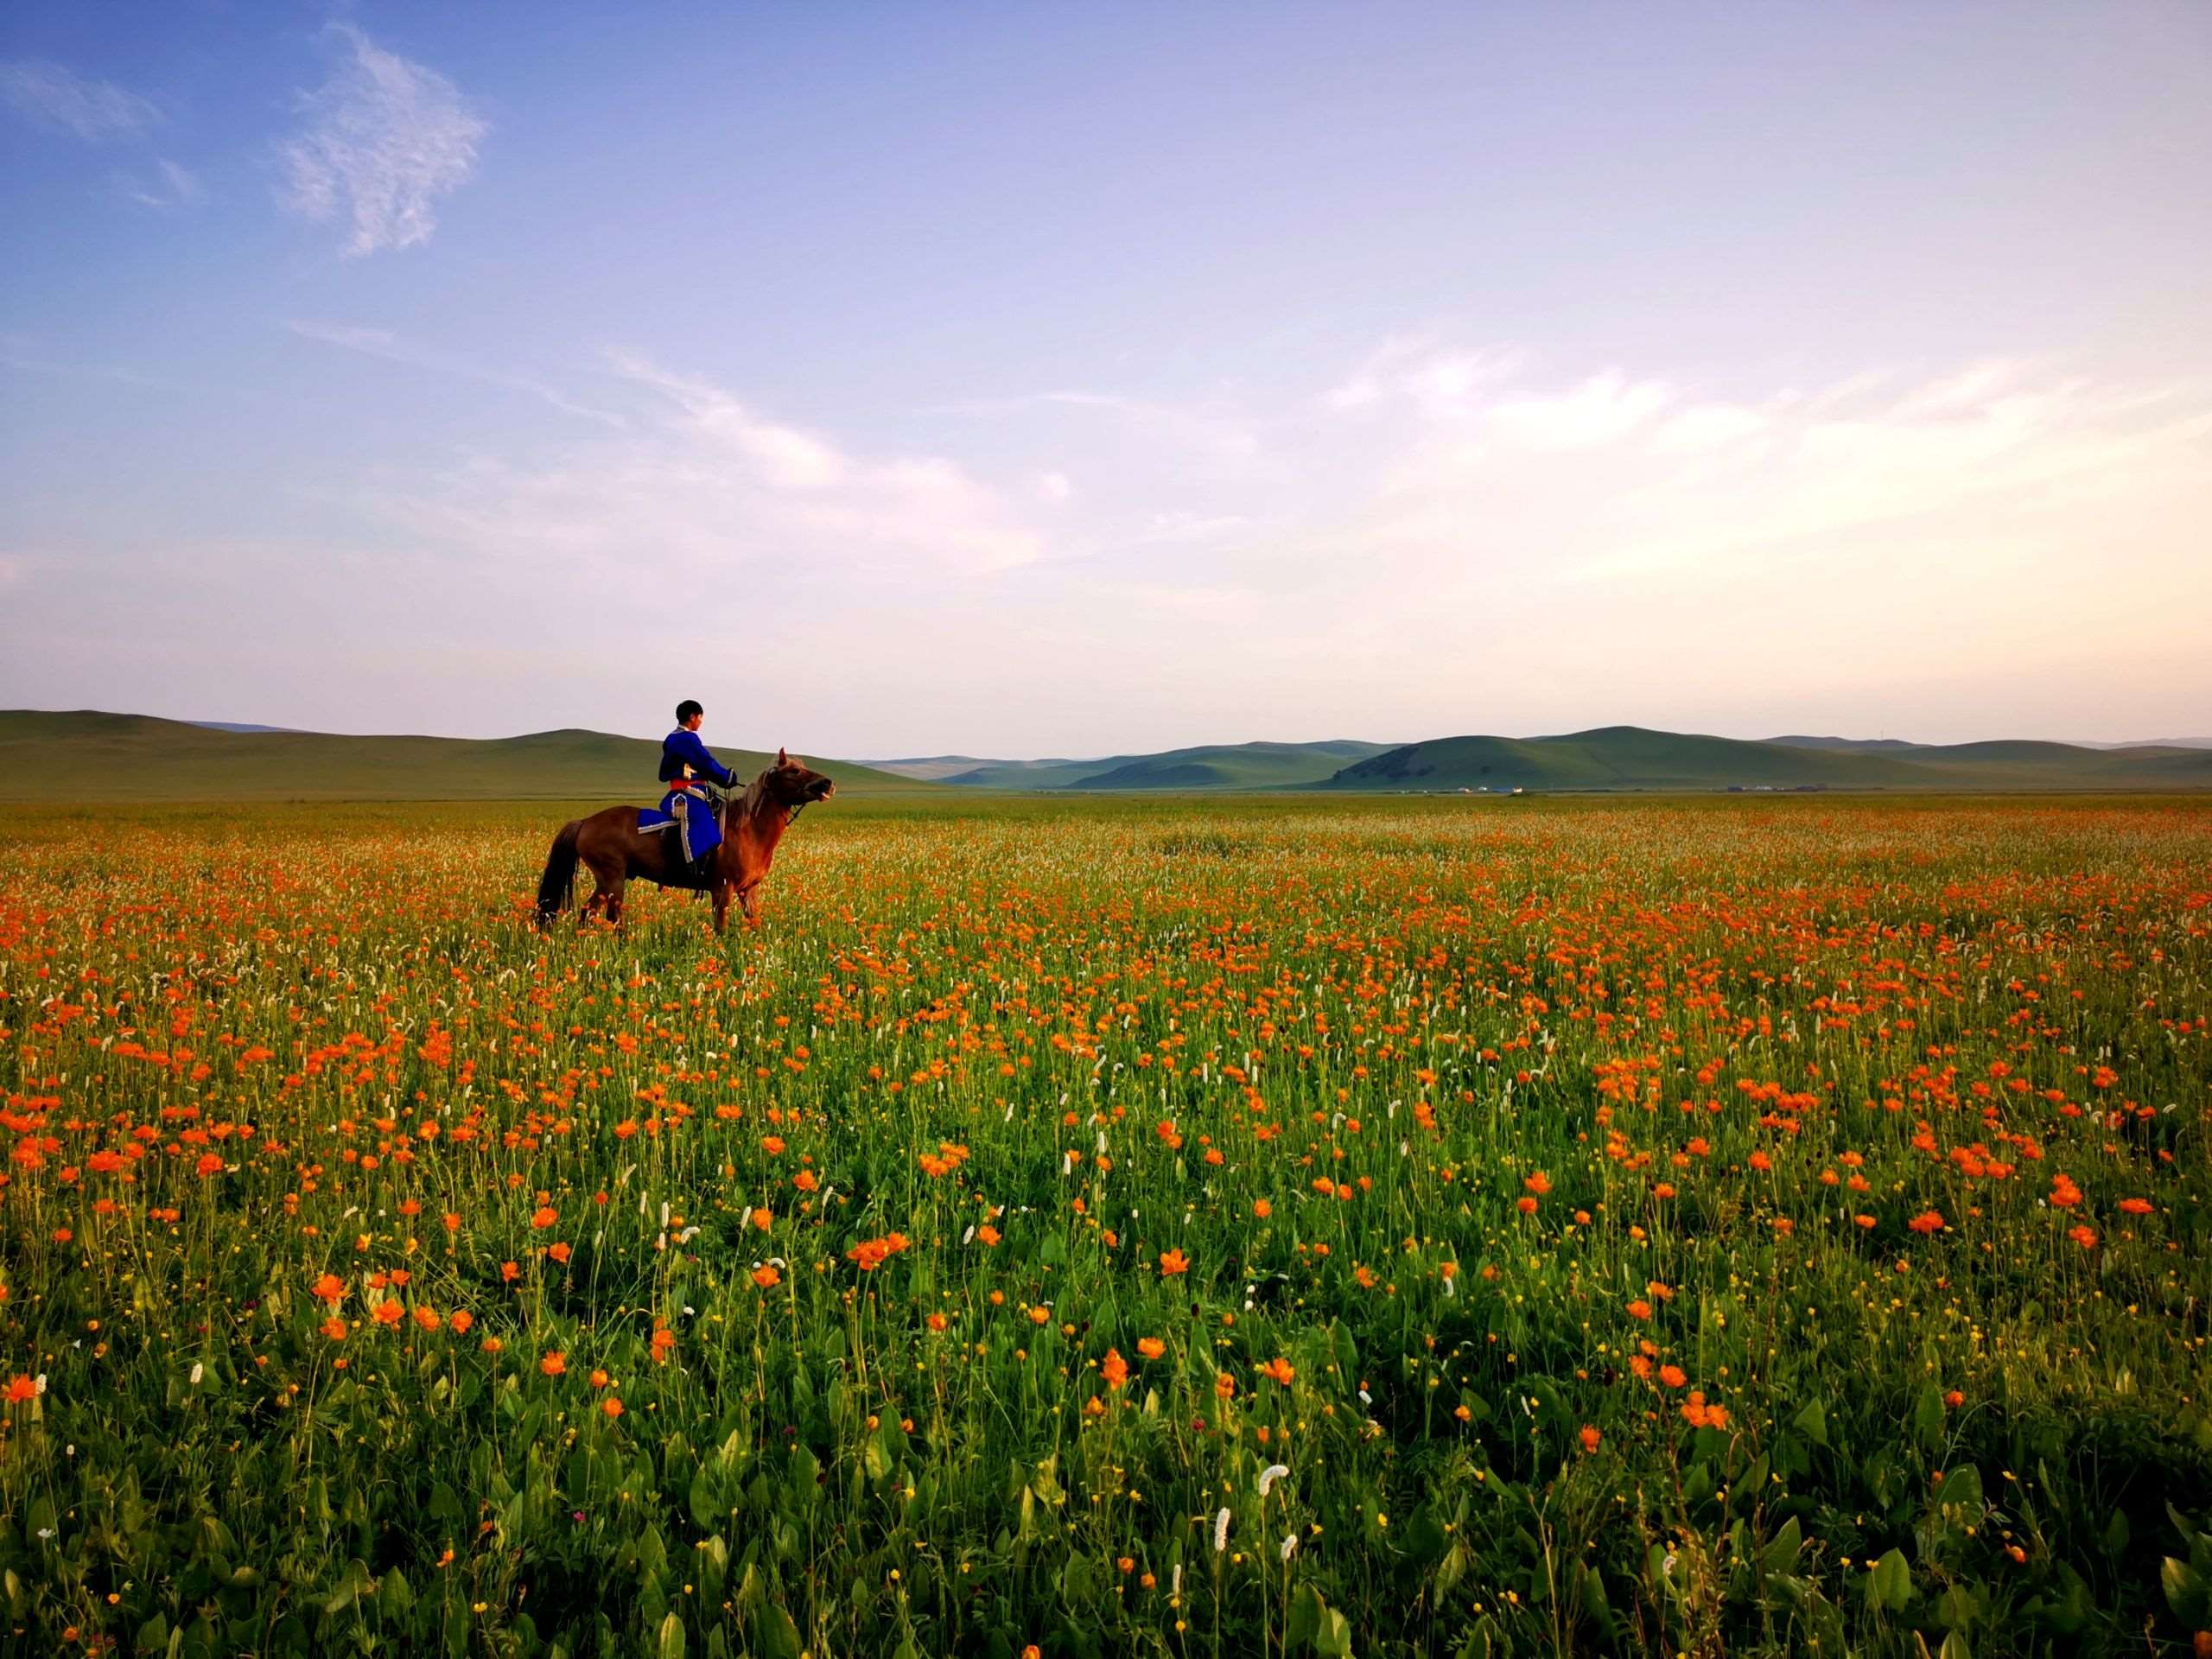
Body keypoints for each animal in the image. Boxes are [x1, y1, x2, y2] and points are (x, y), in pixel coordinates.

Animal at [537, 752, 836, 938]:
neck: (749, 829)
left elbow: (754, 922)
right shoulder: (722, 888)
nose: (828, 784)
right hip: (613, 879)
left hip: (605, 881)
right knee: (614, 916)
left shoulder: (748, 890)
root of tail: (585, 822)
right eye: (795, 770)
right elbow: (721, 927)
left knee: (588, 912)